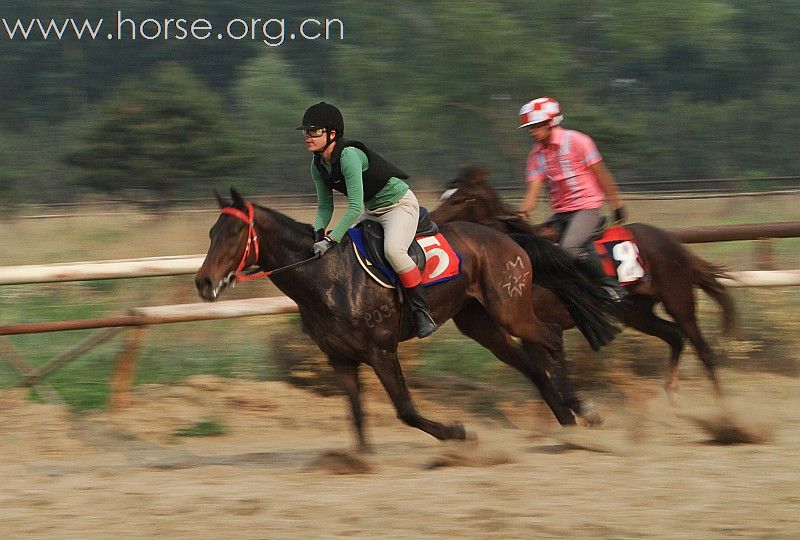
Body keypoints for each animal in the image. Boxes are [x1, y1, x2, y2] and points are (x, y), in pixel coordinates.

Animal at [195, 188, 620, 450]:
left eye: (233, 233)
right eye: (212, 231)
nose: (203, 282)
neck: (325, 277)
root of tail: (505, 236)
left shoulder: (381, 351)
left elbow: (406, 410)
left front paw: (456, 432)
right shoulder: (340, 358)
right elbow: (357, 416)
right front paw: (359, 461)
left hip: (510, 309)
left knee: (549, 337)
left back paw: (583, 411)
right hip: (479, 323)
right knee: (532, 364)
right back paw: (566, 421)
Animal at [432, 167, 736, 398]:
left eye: (459, 199)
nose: (431, 220)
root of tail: (673, 242)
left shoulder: (535, 324)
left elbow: (548, 368)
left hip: (678, 299)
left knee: (703, 349)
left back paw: (724, 411)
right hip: (637, 312)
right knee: (674, 336)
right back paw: (673, 391)